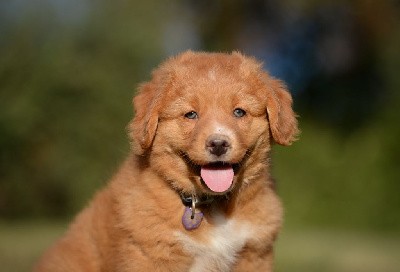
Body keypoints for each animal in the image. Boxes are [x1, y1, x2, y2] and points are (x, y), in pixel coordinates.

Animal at [33, 51, 296, 272]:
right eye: (190, 114)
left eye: (239, 112)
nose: (218, 144)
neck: (212, 208)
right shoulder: (148, 255)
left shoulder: (255, 255)